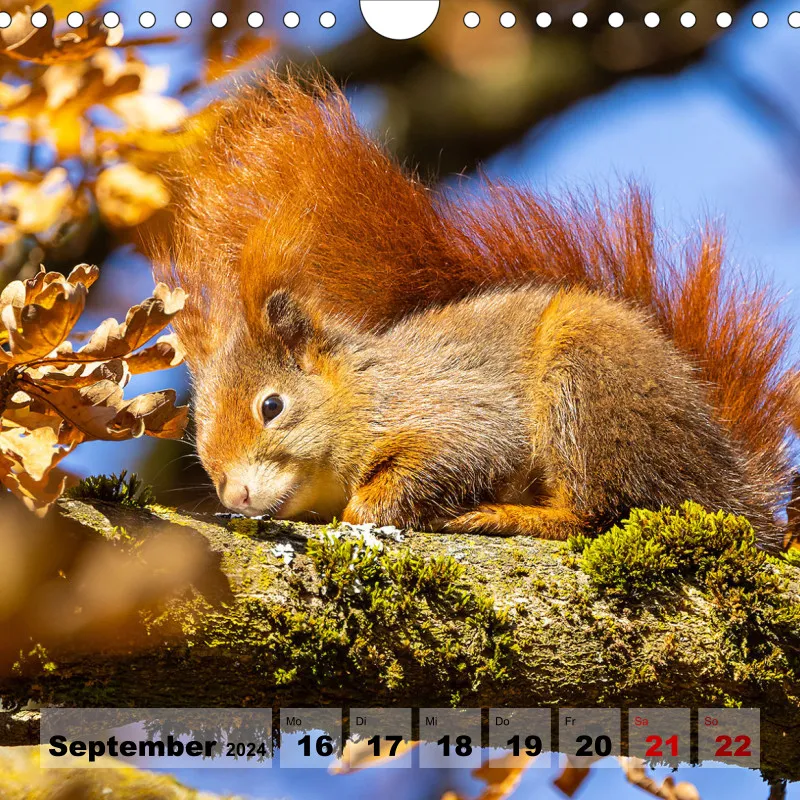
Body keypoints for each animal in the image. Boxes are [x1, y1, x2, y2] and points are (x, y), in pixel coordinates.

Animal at [154, 73, 799, 545]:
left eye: (272, 406)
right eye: (200, 438)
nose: (233, 496)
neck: (364, 388)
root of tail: (732, 485)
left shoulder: (456, 407)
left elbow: (460, 453)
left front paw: (367, 506)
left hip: (590, 385)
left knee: (598, 510)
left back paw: (510, 514)